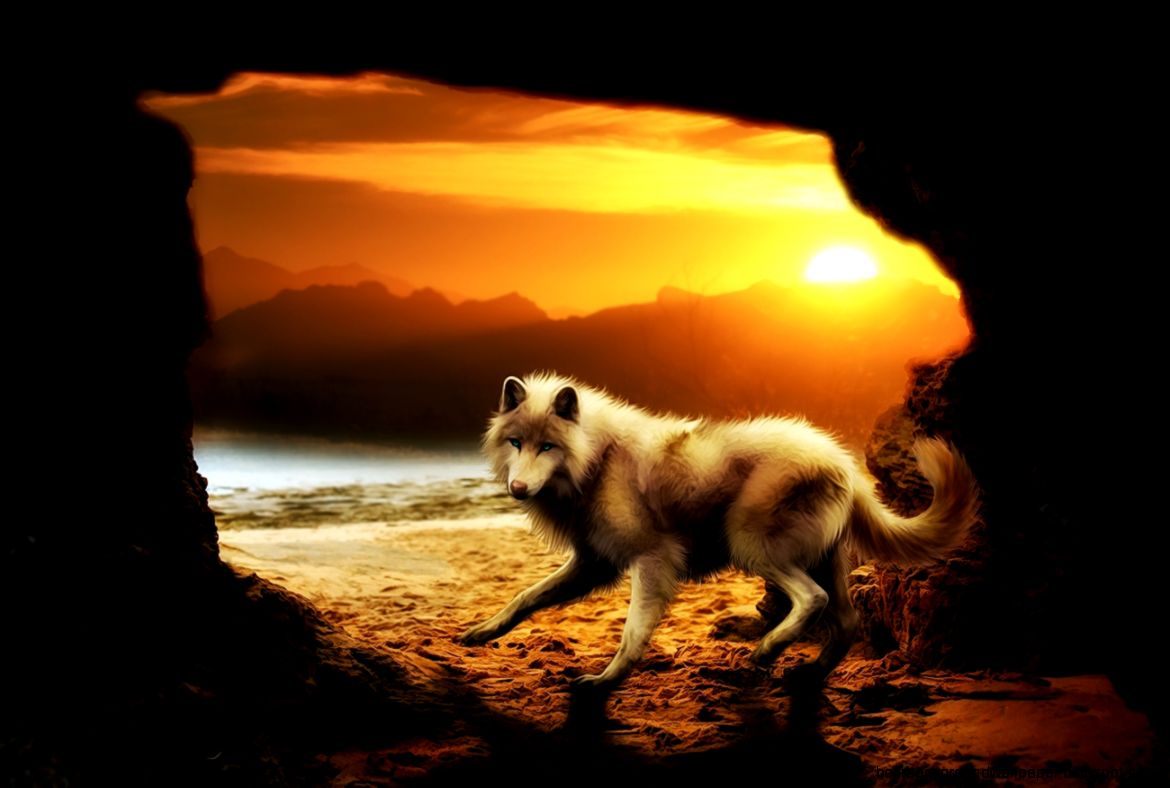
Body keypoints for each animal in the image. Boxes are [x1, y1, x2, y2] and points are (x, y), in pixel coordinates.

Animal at [460, 372, 979, 696]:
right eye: (516, 443)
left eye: (548, 446)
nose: (518, 489)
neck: (597, 459)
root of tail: (843, 462)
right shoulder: (592, 563)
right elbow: (525, 597)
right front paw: (482, 632)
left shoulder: (652, 561)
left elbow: (631, 631)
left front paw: (606, 681)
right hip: (820, 561)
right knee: (847, 622)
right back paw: (808, 675)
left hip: (751, 546)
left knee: (812, 600)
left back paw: (768, 651)